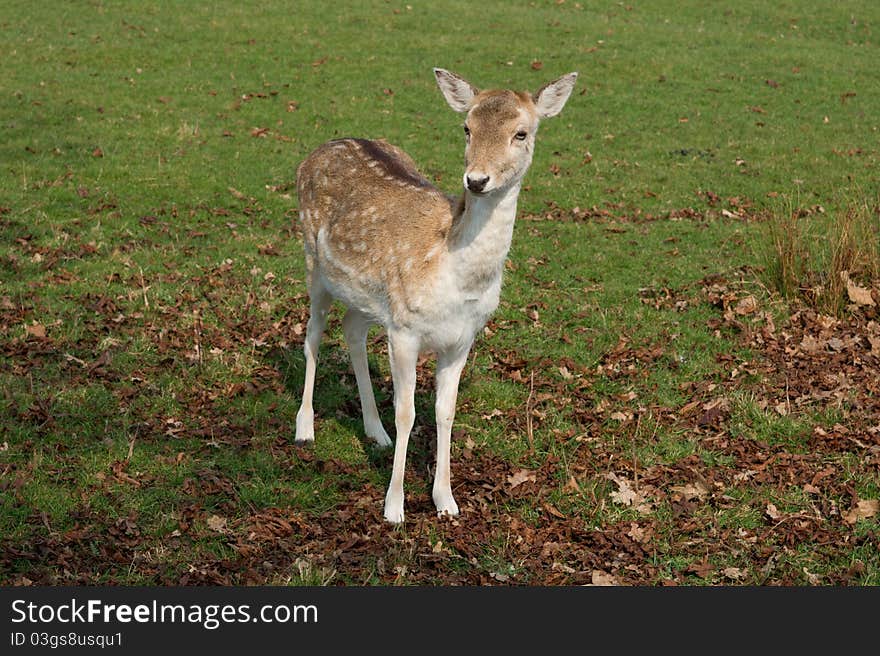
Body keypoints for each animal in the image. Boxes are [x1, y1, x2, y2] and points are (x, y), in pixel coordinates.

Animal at [292, 64, 576, 520]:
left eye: (521, 133)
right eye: (466, 127)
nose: (477, 180)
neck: (455, 274)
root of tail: (322, 146)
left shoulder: (462, 339)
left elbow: (445, 412)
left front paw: (446, 500)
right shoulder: (405, 330)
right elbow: (407, 412)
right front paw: (394, 507)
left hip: (369, 298)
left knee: (352, 329)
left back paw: (375, 432)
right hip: (313, 259)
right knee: (313, 335)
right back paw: (305, 427)